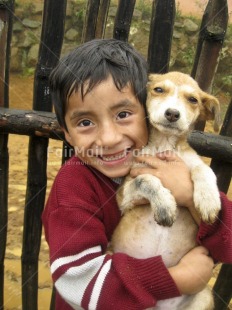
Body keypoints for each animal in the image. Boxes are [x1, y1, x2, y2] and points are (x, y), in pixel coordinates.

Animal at [110, 71, 221, 308]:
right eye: (158, 90)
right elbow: (146, 179)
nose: (172, 114)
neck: (163, 145)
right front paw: (165, 206)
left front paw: (209, 200)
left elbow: (204, 169)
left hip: (204, 297)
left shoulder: (193, 162)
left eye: (193, 99)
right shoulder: (123, 195)